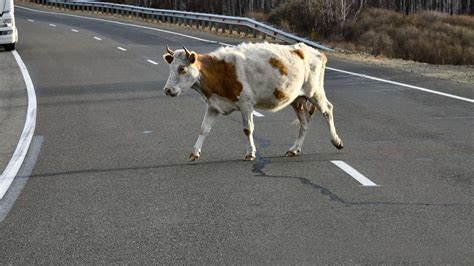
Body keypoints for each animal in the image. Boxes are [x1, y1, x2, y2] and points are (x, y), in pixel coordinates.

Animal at [161, 42, 342, 161]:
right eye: (170, 67)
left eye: (182, 68)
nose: (167, 90)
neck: (218, 71)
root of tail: (315, 51)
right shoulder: (214, 105)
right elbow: (203, 129)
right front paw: (195, 152)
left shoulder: (246, 104)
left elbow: (248, 129)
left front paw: (250, 153)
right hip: (297, 99)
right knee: (304, 122)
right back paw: (294, 149)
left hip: (315, 91)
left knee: (328, 110)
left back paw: (337, 141)